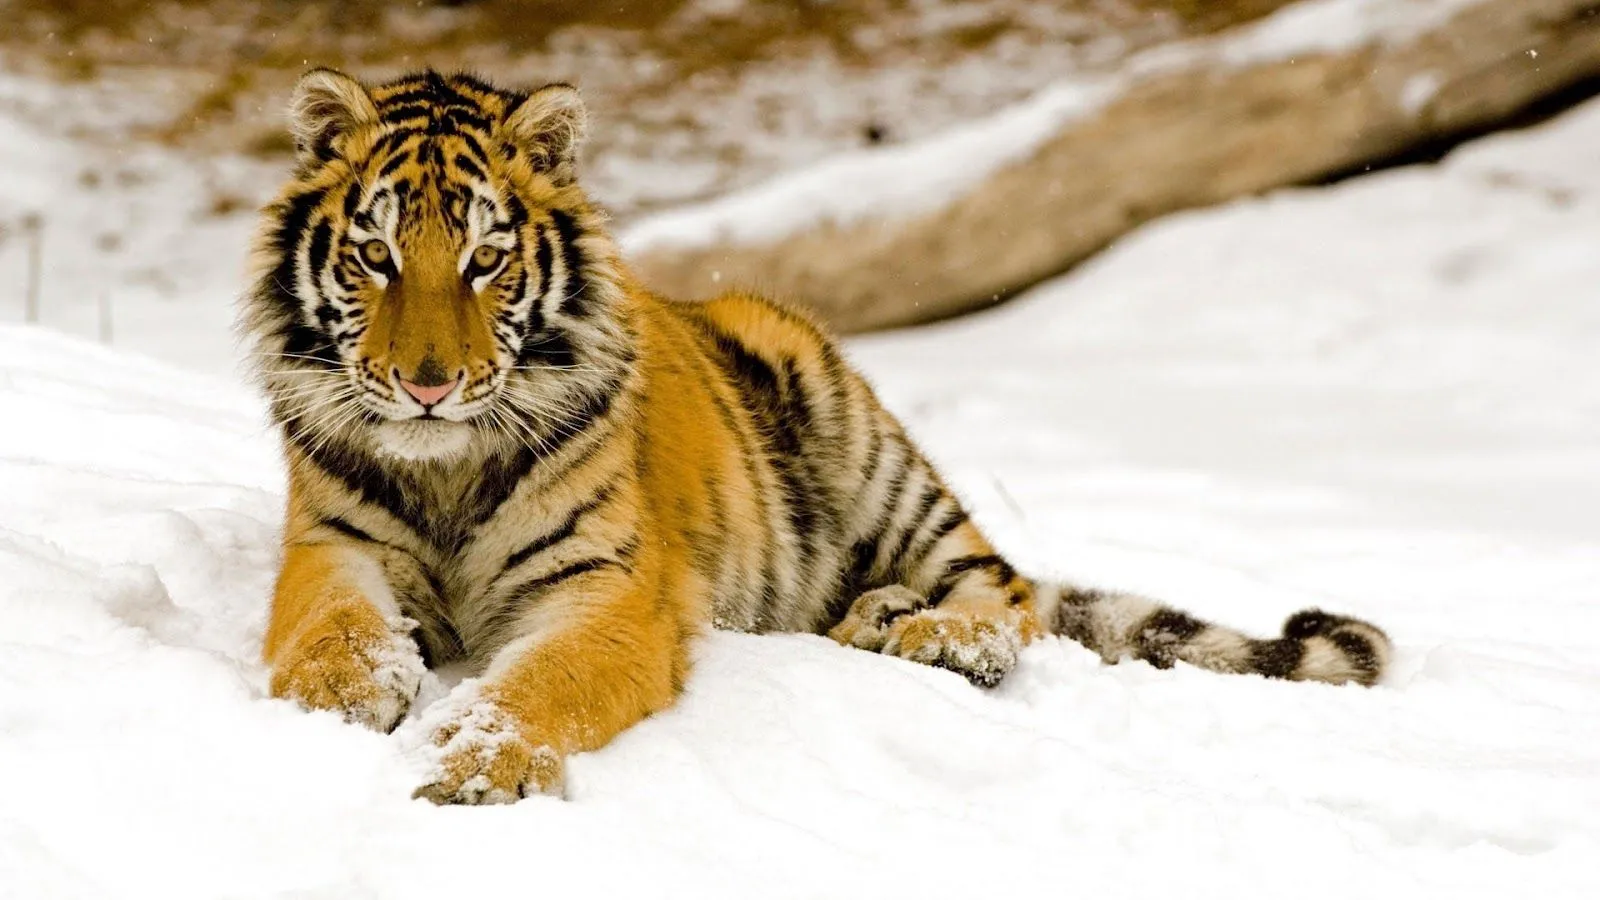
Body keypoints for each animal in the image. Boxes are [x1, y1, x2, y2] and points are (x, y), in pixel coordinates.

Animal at [241, 68, 1391, 805]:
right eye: (377, 257)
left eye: (485, 260)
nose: (428, 385)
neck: (445, 467)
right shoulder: (331, 546)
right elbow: (330, 629)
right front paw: (341, 701)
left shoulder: (610, 589)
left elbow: (540, 682)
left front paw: (477, 761)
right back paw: (877, 619)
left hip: (864, 440)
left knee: (1005, 592)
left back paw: (938, 636)